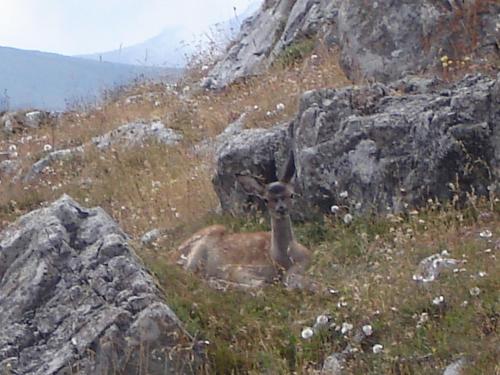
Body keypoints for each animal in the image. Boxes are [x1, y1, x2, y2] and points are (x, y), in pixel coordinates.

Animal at [178, 153, 314, 290]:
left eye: (291, 194)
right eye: (266, 199)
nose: (281, 208)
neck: (282, 260)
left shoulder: (306, 259)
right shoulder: (240, 268)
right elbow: (260, 283)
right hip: (197, 251)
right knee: (188, 275)